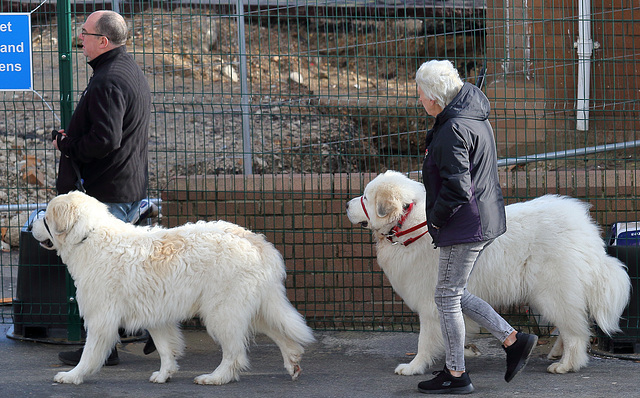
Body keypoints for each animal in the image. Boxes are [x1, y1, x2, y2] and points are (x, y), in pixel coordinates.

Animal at [30, 192, 316, 386]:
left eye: (45, 216)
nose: (31, 226)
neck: (88, 236)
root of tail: (256, 241)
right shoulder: (155, 313)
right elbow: (165, 348)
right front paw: (164, 374)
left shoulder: (101, 318)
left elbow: (89, 354)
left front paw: (73, 376)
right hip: (252, 307)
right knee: (281, 334)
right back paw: (292, 362)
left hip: (222, 312)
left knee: (234, 353)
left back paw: (216, 378)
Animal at [344, 172, 632, 376]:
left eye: (366, 198)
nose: (346, 205)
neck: (412, 225)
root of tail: (584, 227)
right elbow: (455, 330)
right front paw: (461, 353)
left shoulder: (431, 302)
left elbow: (425, 340)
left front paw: (414, 367)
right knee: (568, 326)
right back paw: (556, 353)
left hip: (553, 292)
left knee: (576, 332)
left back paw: (566, 364)